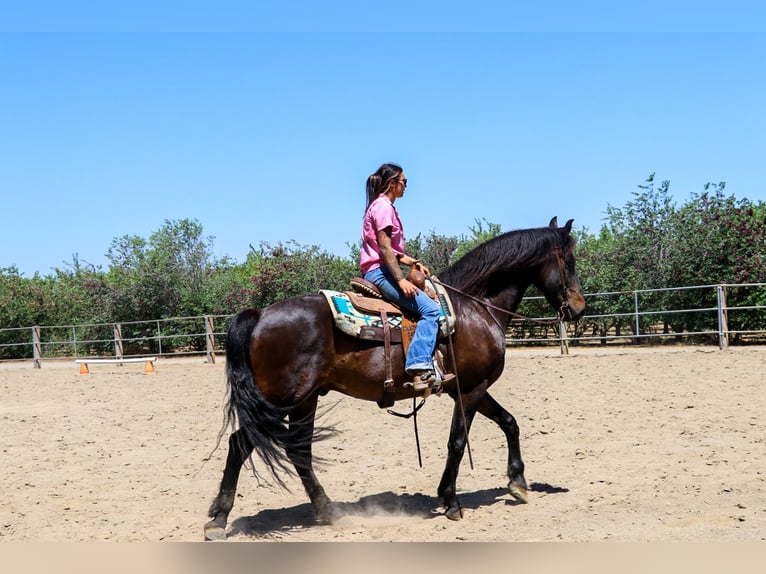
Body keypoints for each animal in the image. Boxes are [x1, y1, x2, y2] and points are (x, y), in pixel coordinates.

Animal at [204, 218, 588, 544]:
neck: (476, 309)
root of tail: (260, 314)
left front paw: (518, 483)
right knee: (242, 444)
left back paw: (328, 512)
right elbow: (457, 443)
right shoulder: (471, 390)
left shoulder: (469, 389)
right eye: (569, 260)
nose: (579, 308)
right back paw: (219, 521)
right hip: (280, 400)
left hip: (304, 399)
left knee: (298, 451)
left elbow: (509, 422)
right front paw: (451, 501)